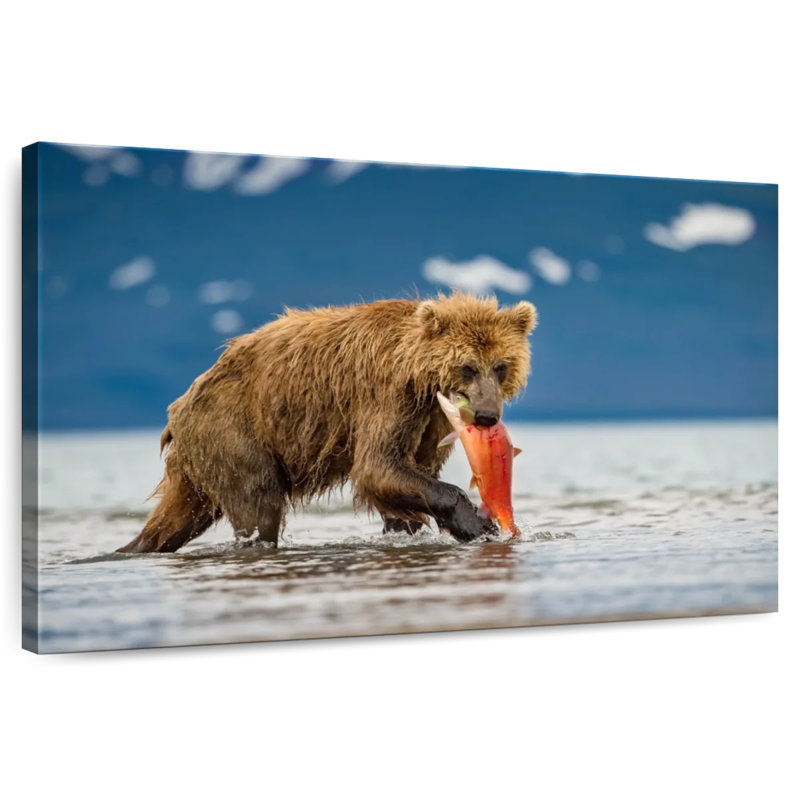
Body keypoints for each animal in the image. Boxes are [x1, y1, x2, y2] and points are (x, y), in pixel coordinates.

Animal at [117, 292, 537, 553]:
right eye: (467, 367)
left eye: (501, 366)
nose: (486, 416)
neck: (418, 374)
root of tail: (178, 409)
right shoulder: (386, 395)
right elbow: (377, 465)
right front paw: (478, 524)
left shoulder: (429, 422)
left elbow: (409, 474)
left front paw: (406, 528)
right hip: (234, 430)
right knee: (258, 503)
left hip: (201, 462)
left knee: (176, 517)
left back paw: (134, 547)